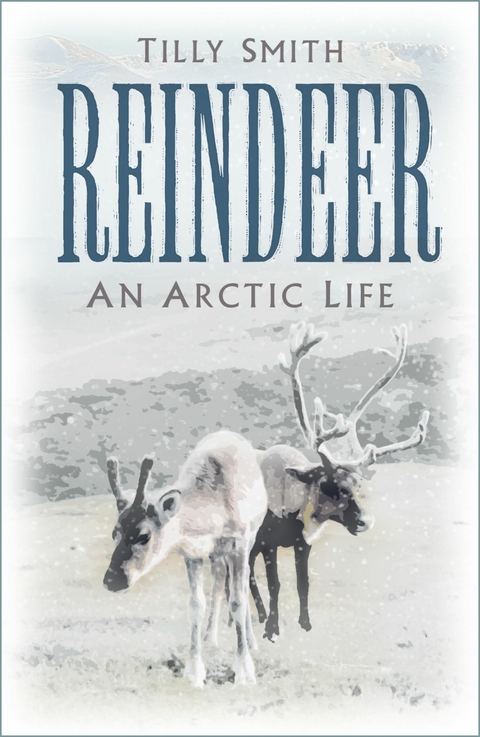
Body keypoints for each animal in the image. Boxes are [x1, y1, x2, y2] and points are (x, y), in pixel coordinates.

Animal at [103, 430, 268, 687]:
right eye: (114, 532)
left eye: (144, 535)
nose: (112, 580)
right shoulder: (192, 553)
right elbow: (195, 604)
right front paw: (194, 672)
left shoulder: (239, 544)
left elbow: (238, 601)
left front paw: (244, 671)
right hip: (216, 554)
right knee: (219, 577)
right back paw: (210, 637)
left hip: (250, 539)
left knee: (242, 582)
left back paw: (250, 641)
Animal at [249, 322, 430, 641]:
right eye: (329, 485)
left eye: (357, 485)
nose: (365, 521)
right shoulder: (268, 543)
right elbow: (275, 584)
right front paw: (272, 629)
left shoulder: (302, 544)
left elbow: (303, 583)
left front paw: (305, 624)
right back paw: (255, 615)